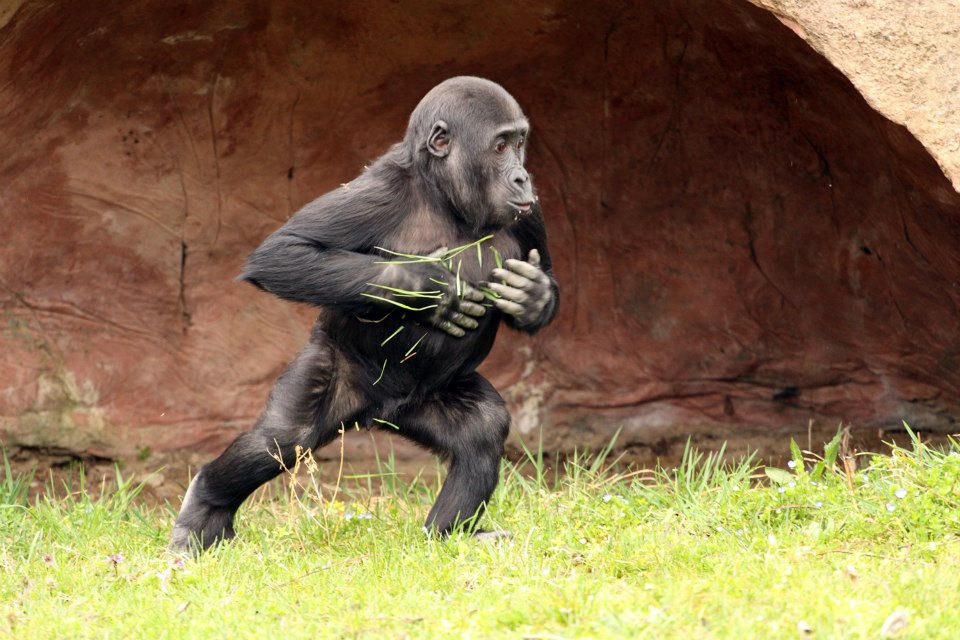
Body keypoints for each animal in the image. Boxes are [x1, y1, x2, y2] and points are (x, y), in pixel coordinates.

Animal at [170, 75, 560, 552]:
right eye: (501, 146)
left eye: (520, 143)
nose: (522, 175)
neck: (444, 196)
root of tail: (375, 414)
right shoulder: (377, 192)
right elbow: (284, 252)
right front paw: (427, 285)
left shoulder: (530, 213)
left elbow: (545, 276)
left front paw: (533, 296)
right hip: (336, 366)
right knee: (281, 439)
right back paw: (206, 504)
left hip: (424, 402)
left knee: (481, 429)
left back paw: (448, 534)